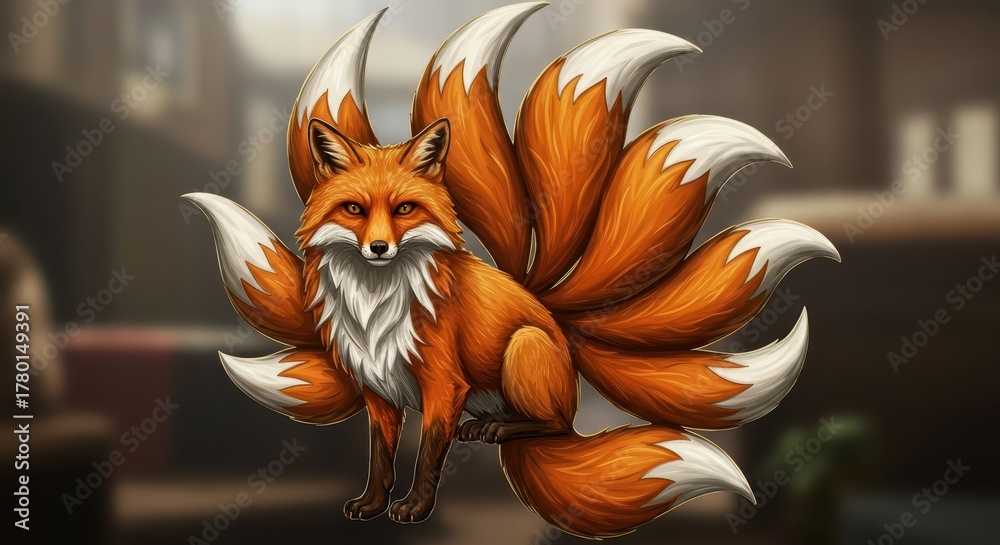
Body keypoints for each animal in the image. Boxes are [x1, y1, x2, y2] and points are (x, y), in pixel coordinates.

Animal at [184, 3, 839, 539]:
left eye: (404, 209)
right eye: (354, 210)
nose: (378, 249)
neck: (376, 304)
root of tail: (558, 325)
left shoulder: (442, 384)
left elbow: (426, 458)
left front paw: (414, 509)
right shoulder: (377, 388)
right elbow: (380, 457)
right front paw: (371, 506)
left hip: (520, 350)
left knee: (553, 425)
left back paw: (505, 430)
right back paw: (491, 426)